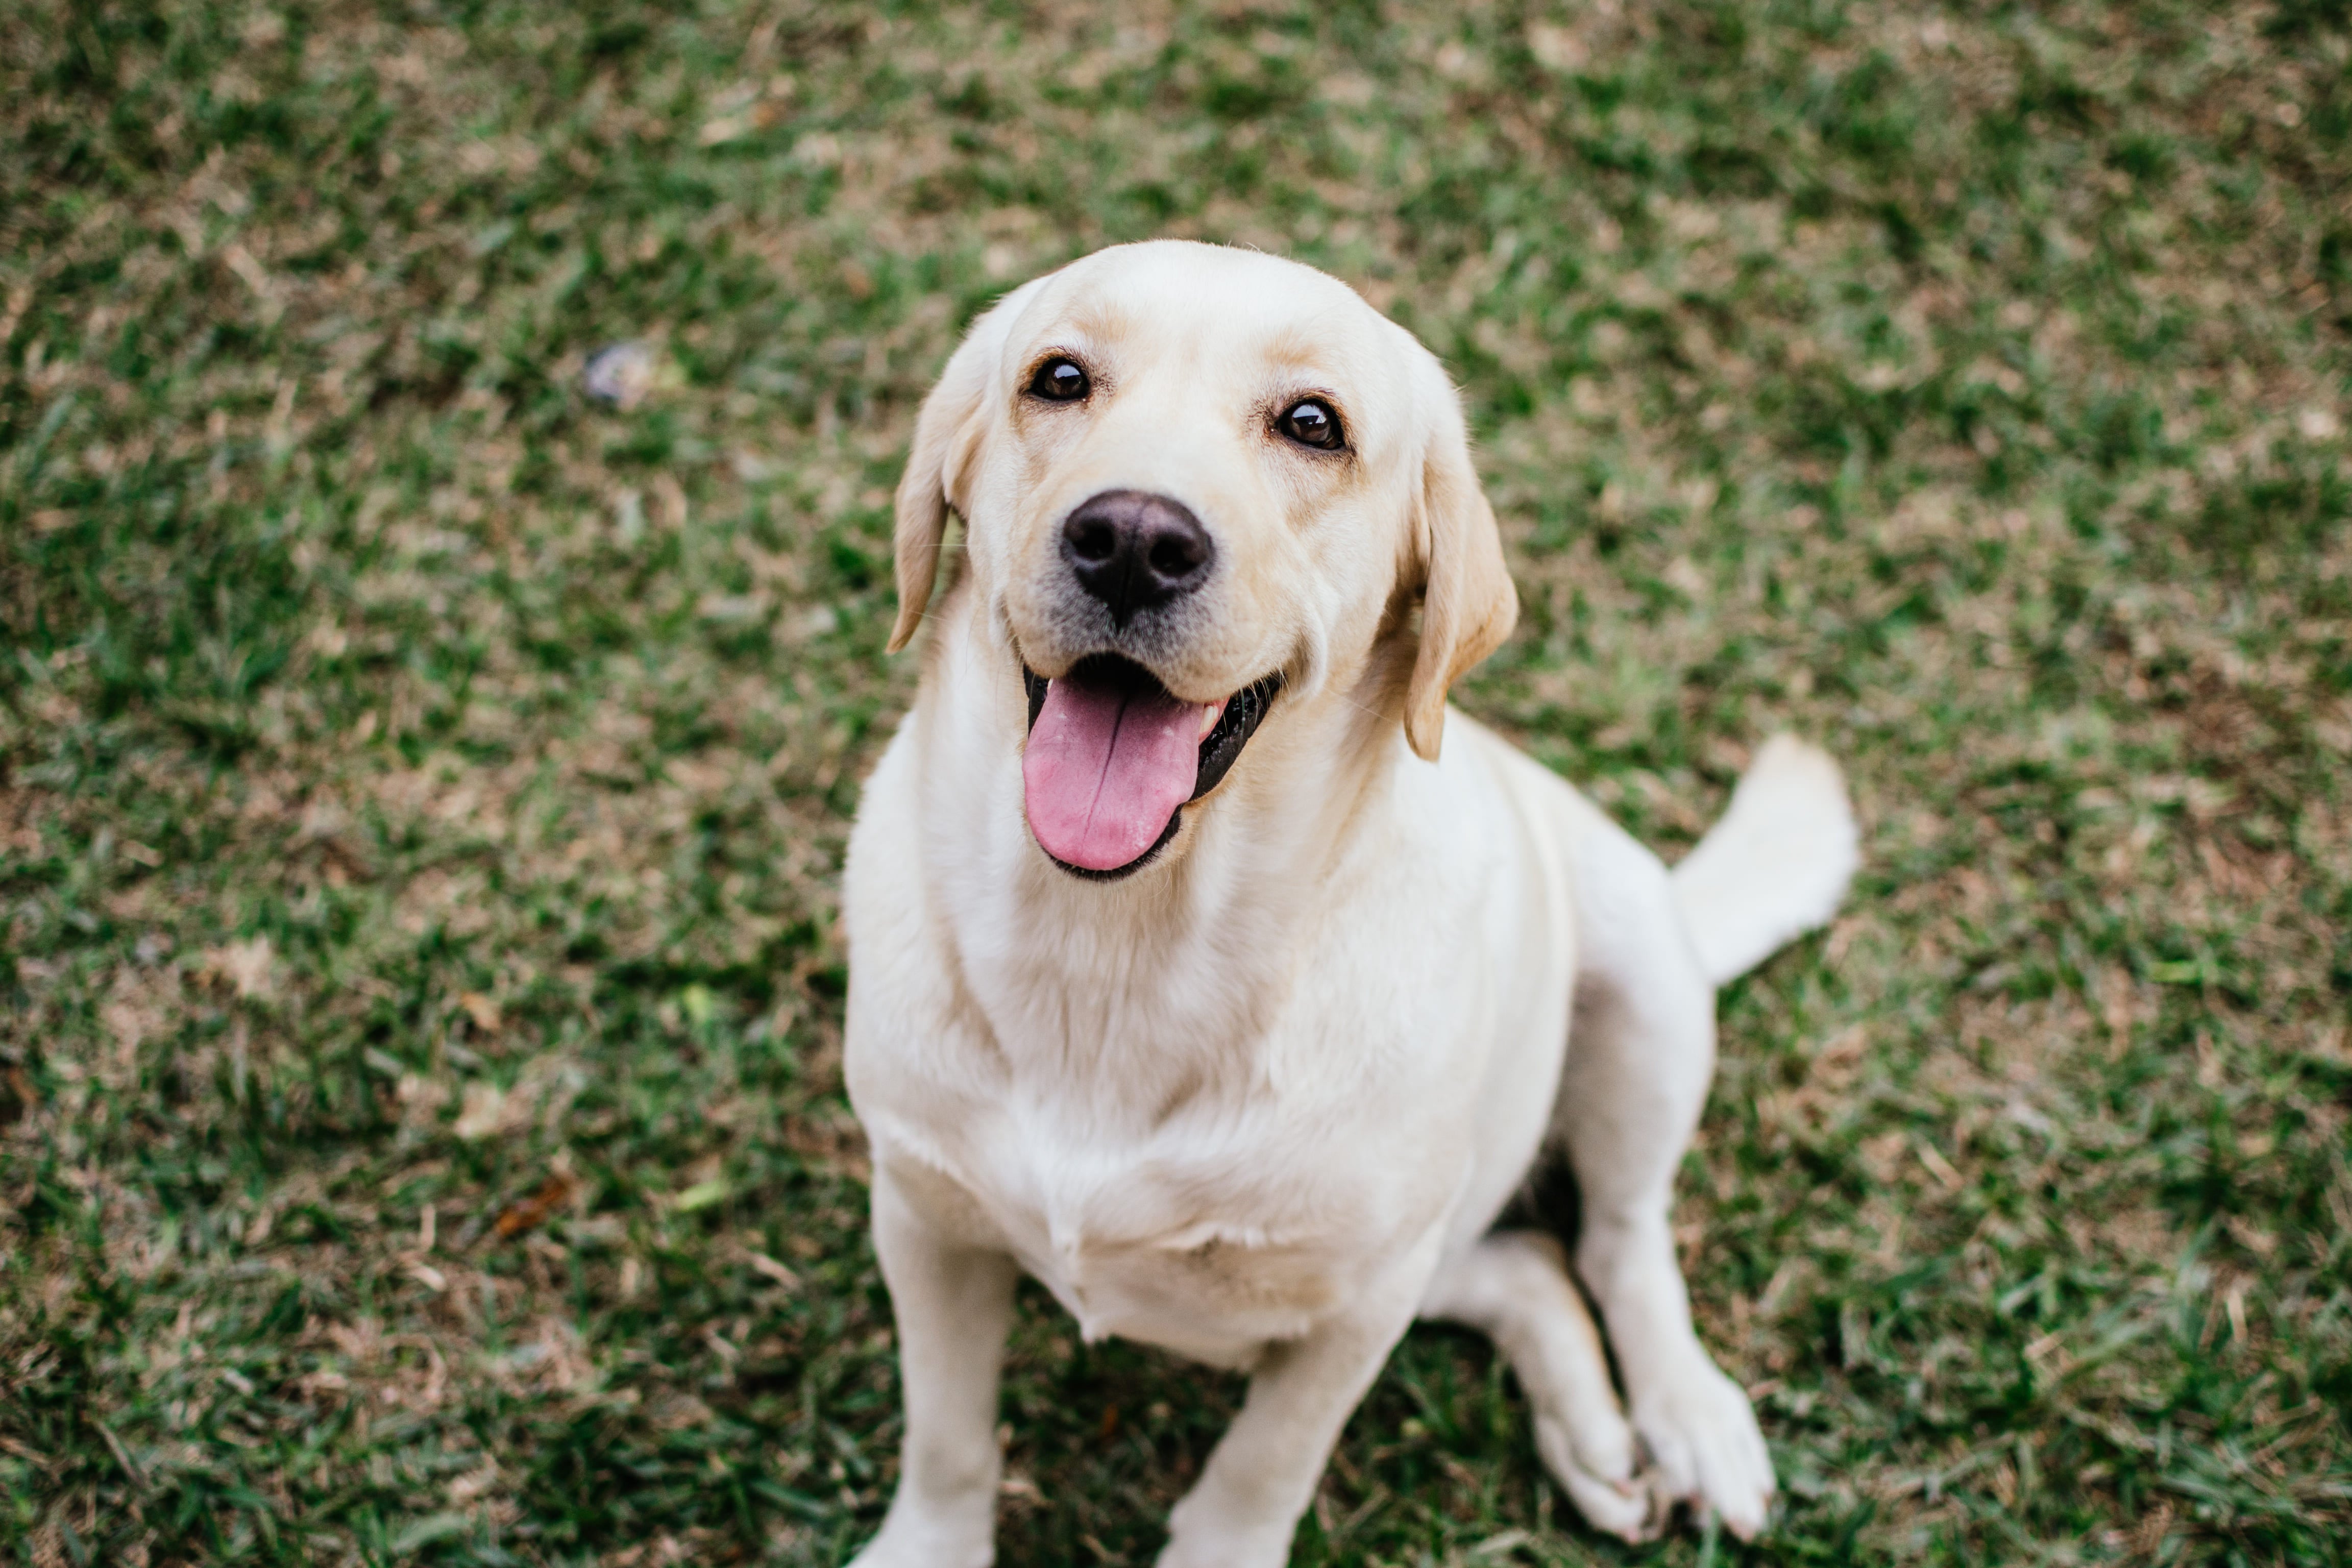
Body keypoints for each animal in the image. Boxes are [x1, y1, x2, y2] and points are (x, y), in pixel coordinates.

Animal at [846, 239, 1853, 1561]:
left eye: (1313, 424)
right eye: (1057, 378)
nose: (1130, 538)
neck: (1119, 944)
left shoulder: (1353, 1310)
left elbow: (1259, 1470)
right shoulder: (924, 1217)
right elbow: (947, 1437)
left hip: (1642, 985)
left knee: (1619, 1236)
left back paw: (1685, 1416)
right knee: (1524, 1264)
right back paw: (1593, 1435)